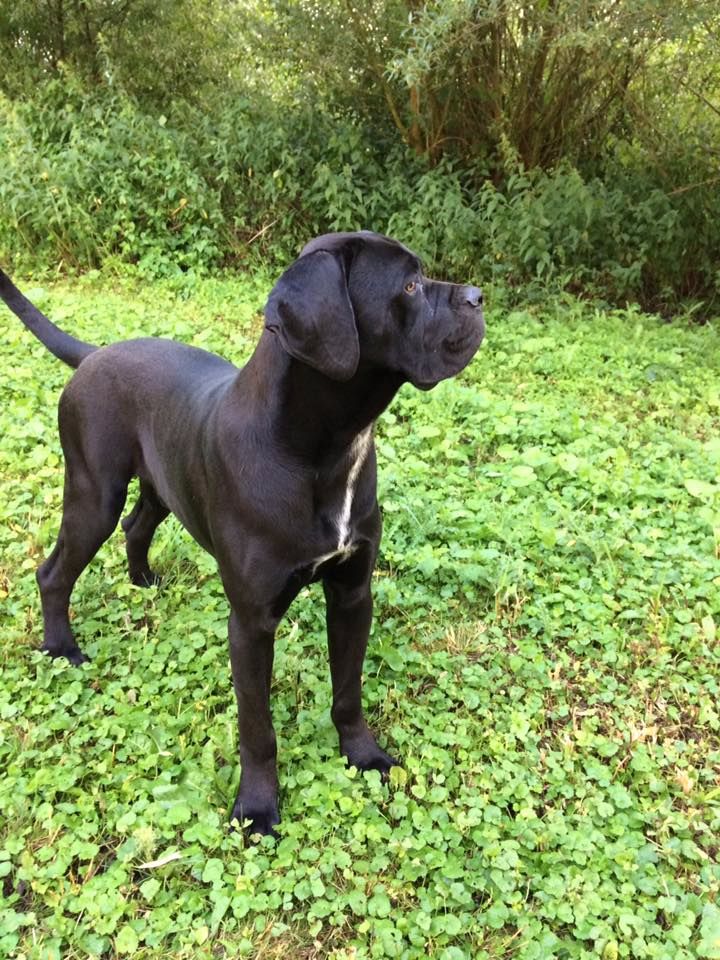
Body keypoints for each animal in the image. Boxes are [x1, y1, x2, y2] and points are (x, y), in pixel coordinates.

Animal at [1, 231, 484, 832]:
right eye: (410, 285)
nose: (478, 296)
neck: (324, 447)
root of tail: (94, 354)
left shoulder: (352, 593)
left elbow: (348, 690)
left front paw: (363, 754)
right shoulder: (251, 623)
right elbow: (258, 728)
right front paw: (256, 807)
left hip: (162, 485)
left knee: (137, 525)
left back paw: (142, 581)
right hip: (94, 496)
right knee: (54, 572)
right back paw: (62, 648)